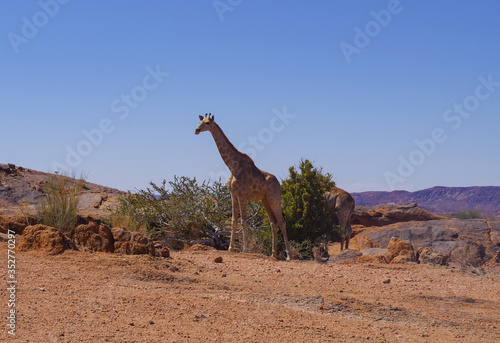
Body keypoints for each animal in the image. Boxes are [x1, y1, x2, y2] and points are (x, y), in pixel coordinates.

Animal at [193, 113, 292, 260]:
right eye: (200, 121)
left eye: (207, 123)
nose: (196, 130)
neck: (232, 165)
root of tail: (279, 183)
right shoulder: (233, 195)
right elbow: (234, 220)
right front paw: (230, 248)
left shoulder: (242, 195)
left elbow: (244, 222)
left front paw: (245, 249)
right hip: (264, 200)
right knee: (273, 223)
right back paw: (273, 254)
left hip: (274, 199)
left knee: (282, 222)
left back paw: (289, 255)